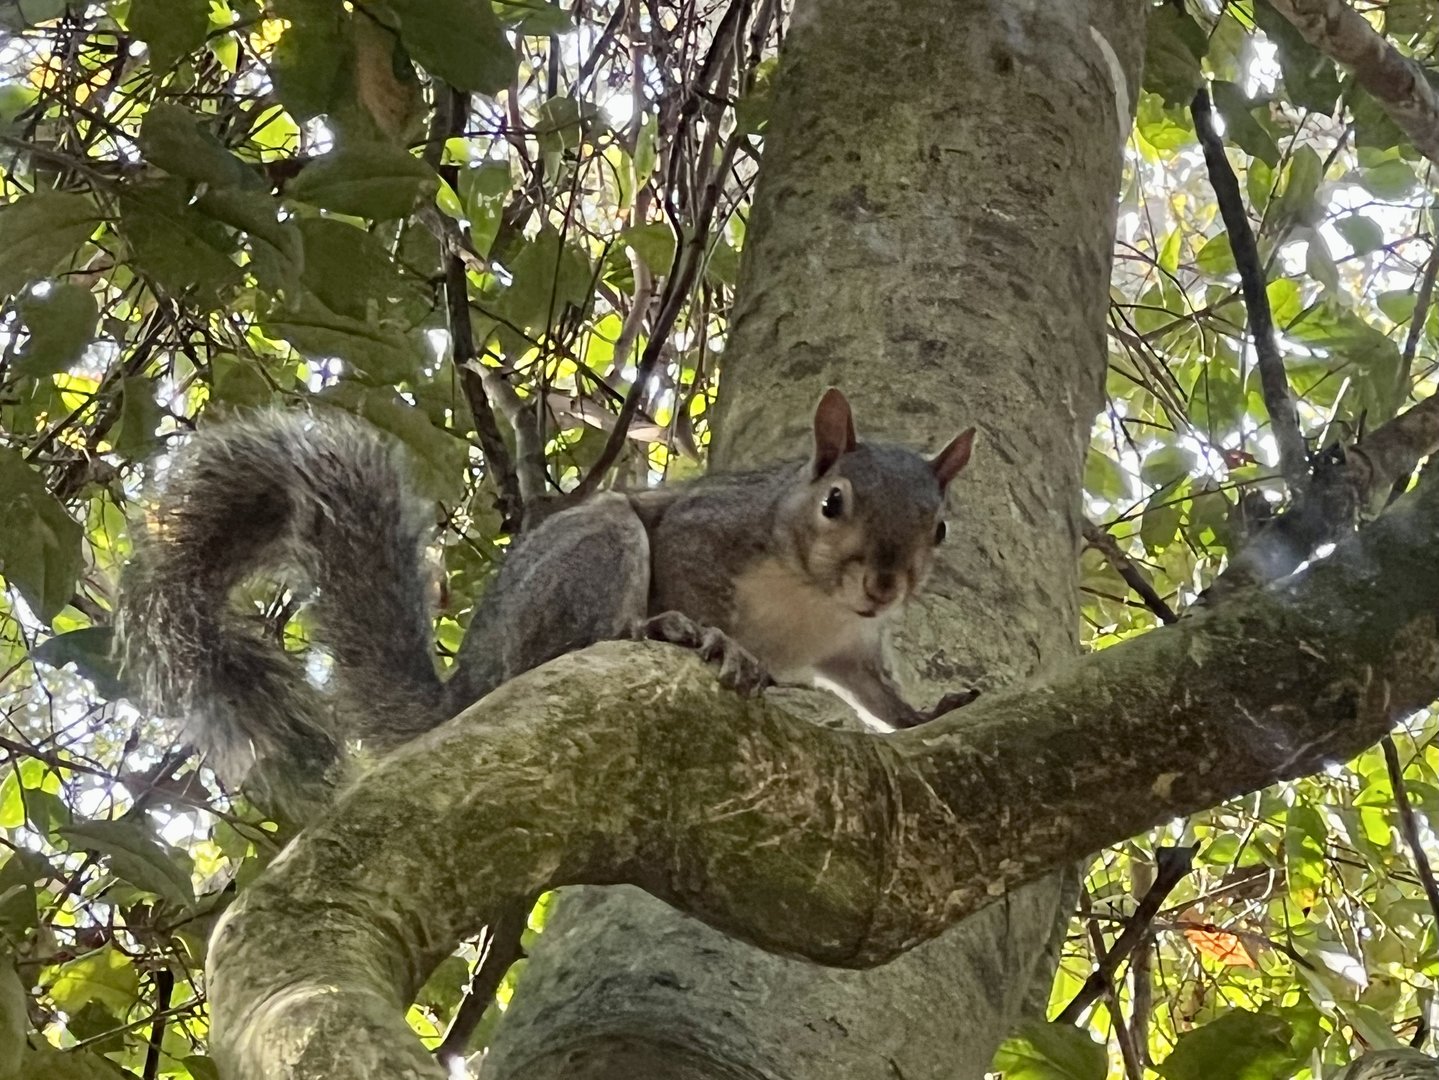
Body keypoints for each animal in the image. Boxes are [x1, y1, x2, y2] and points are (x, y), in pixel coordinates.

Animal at [116, 388, 976, 816]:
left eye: (939, 525)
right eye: (834, 503)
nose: (884, 584)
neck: (816, 598)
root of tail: (471, 690)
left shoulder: (850, 650)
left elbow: (880, 697)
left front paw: (928, 713)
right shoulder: (706, 535)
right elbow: (698, 587)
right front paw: (715, 640)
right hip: (596, 550)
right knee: (573, 643)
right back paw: (658, 629)